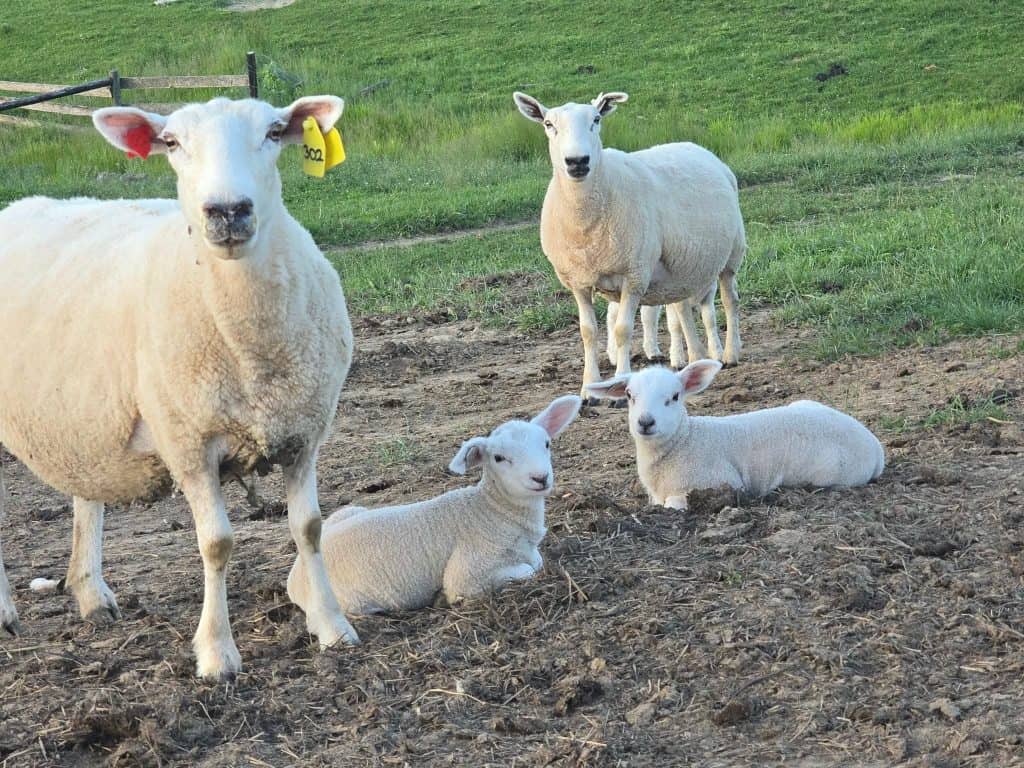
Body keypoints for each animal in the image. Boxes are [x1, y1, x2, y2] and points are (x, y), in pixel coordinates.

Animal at [0, 96, 358, 679]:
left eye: (273, 131)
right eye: (171, 142)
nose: (228, 210)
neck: (251, 350)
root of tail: (13, 208)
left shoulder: (304, 432)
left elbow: (309, 528)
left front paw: (332, 625)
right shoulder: (189, 442)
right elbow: (217, 544)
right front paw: (216, 653)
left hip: (86, 412)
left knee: (85, 493)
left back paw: (91, 594)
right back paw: (6, 610)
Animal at [287, 395, 582, 615]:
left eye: (546, 443)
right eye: (498, 457)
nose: (540, 478)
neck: (490, 511)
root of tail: (294, 577)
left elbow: (538, 561)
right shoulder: (468, 573)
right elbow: (528, 570)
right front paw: (443, 598)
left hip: (348, 511)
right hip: (357, 602)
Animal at [513, 90, 746, 399]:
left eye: (596, 120)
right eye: (549, 124)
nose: (577, 161)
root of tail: (698, 147)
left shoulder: (633, 275)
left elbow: (623, 330)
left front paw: (620, 379)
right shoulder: (578, 282)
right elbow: (588, 332)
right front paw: (588, 387)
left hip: (732, 255)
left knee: (730, 300)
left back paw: (730, 353)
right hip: (683, 267)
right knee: (683, 311)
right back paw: (695, 358)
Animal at [587, 362, 885, 510]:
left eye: (675, 396)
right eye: (629, 396)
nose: (645, 422)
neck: (684, 441)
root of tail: (875, 445)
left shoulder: (719, 482)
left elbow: (673, 506)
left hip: (831, 475)